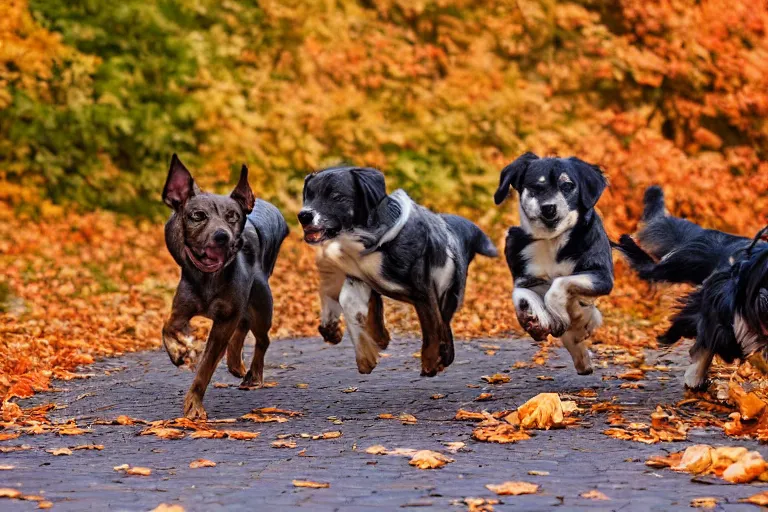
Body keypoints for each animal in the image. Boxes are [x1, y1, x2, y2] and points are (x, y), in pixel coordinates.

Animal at [159, 152, 288, 420]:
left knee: (261, 337)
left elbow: (206, 366)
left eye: (233, 216)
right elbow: (168, 326)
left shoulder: (225, 318)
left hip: (261, 305)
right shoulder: (182, 307)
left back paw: (252, 373)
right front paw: (179, 350)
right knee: (243, 326)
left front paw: (194, 404)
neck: (209, 277)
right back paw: (235, 362)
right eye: (198, 215)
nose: (222, 236)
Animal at [294, 167, 498, 376]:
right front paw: (369, 349)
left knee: (443, 323)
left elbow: (431, 326)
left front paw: (430, 361)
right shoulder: (359, 279)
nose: (304, 216)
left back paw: (445, 355)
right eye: (308, 196)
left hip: (450, 292)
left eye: (336, 196)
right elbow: (354, 307)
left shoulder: (423, 290)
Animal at [496, 154, 616, 374]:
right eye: (536, 186)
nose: (549, 208)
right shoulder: (524, 276)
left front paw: (557, 313)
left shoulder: (601, 276)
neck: (551, 240)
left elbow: (560, 282)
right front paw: (534, 316)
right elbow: (519, 293)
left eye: (567, 185)